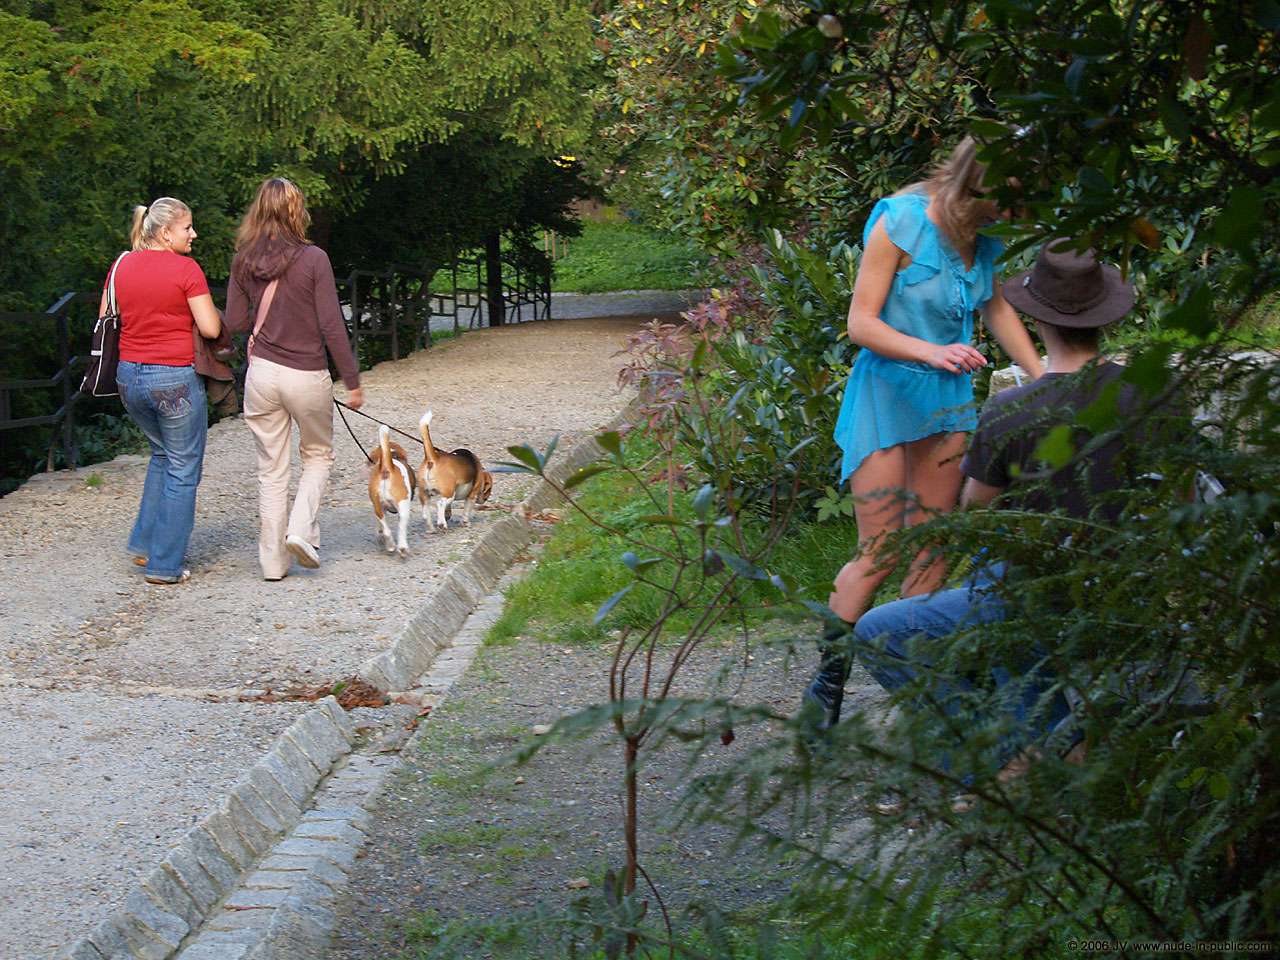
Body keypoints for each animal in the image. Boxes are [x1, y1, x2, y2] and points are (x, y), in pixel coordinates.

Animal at [367, 424, 417, 556]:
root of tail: (387, 467)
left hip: (378, 507)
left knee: (386, 531)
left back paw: (390, 546)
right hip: (403, 506)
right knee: (401, 528)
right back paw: (402, 548)